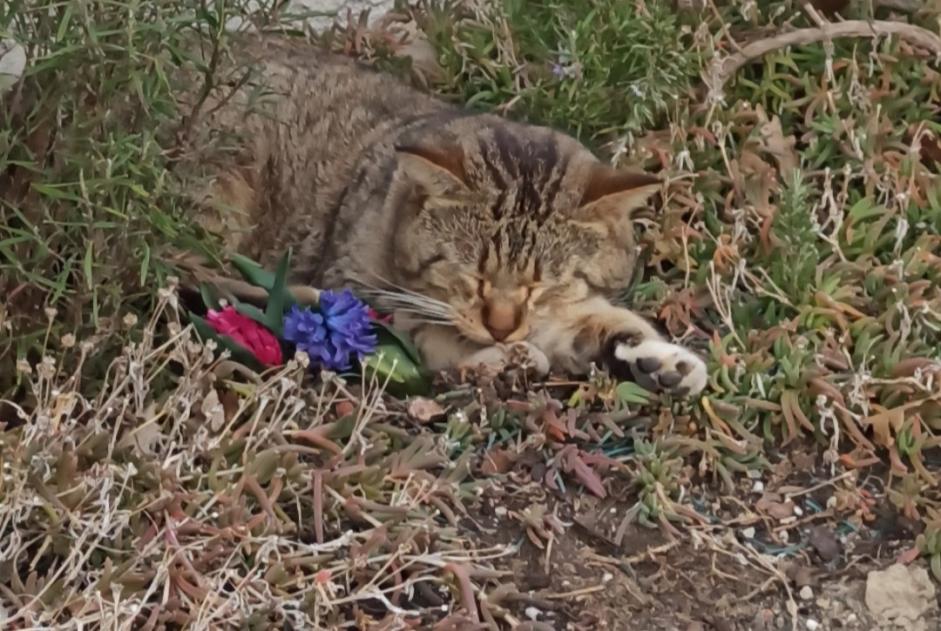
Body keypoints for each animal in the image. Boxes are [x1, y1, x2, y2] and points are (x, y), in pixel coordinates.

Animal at [185, 33, 704, 396]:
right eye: (472, 276)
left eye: (542, 286)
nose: (502, 327)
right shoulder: (360, 289)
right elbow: (428, 331)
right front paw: (501, 356)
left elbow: (604, 318)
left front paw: (662, 359)